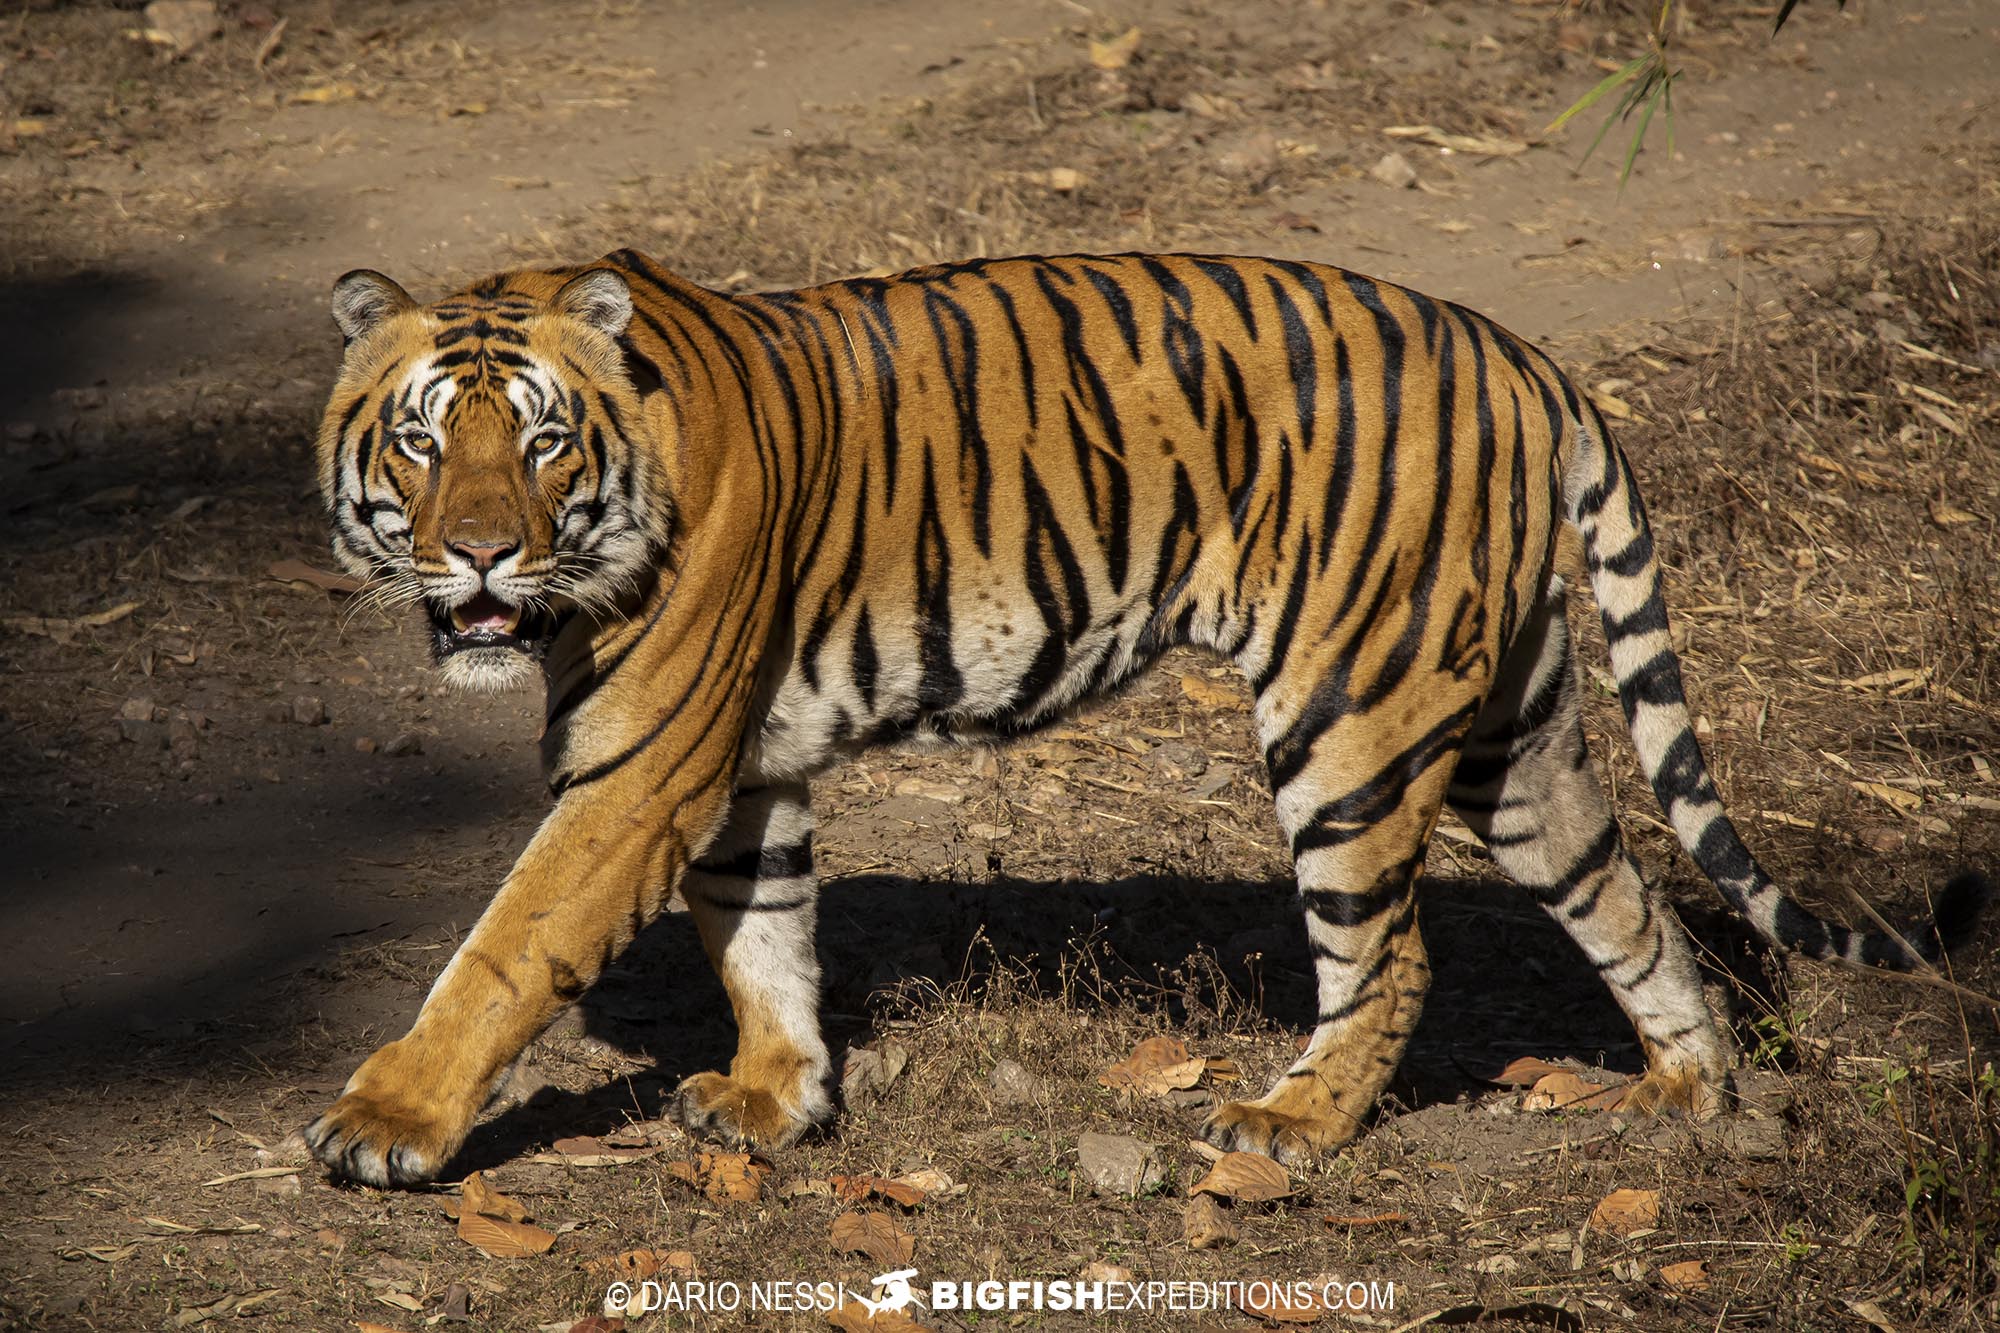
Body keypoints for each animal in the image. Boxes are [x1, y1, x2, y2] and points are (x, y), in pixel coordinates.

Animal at [303, 248, 1987, 1187]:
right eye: (421, 442)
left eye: (540, 444)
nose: (480, 552)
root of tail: (1512, 350)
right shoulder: (742, 766)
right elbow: (762, 928)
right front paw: (780, 1098)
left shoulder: (642, 768)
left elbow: (505, 949)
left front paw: (387, 1120)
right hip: (1511, 722)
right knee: (1622, 886)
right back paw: (1691, 1099)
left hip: (1351, 713)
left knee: (1389, 954)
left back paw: (1291, 1126)